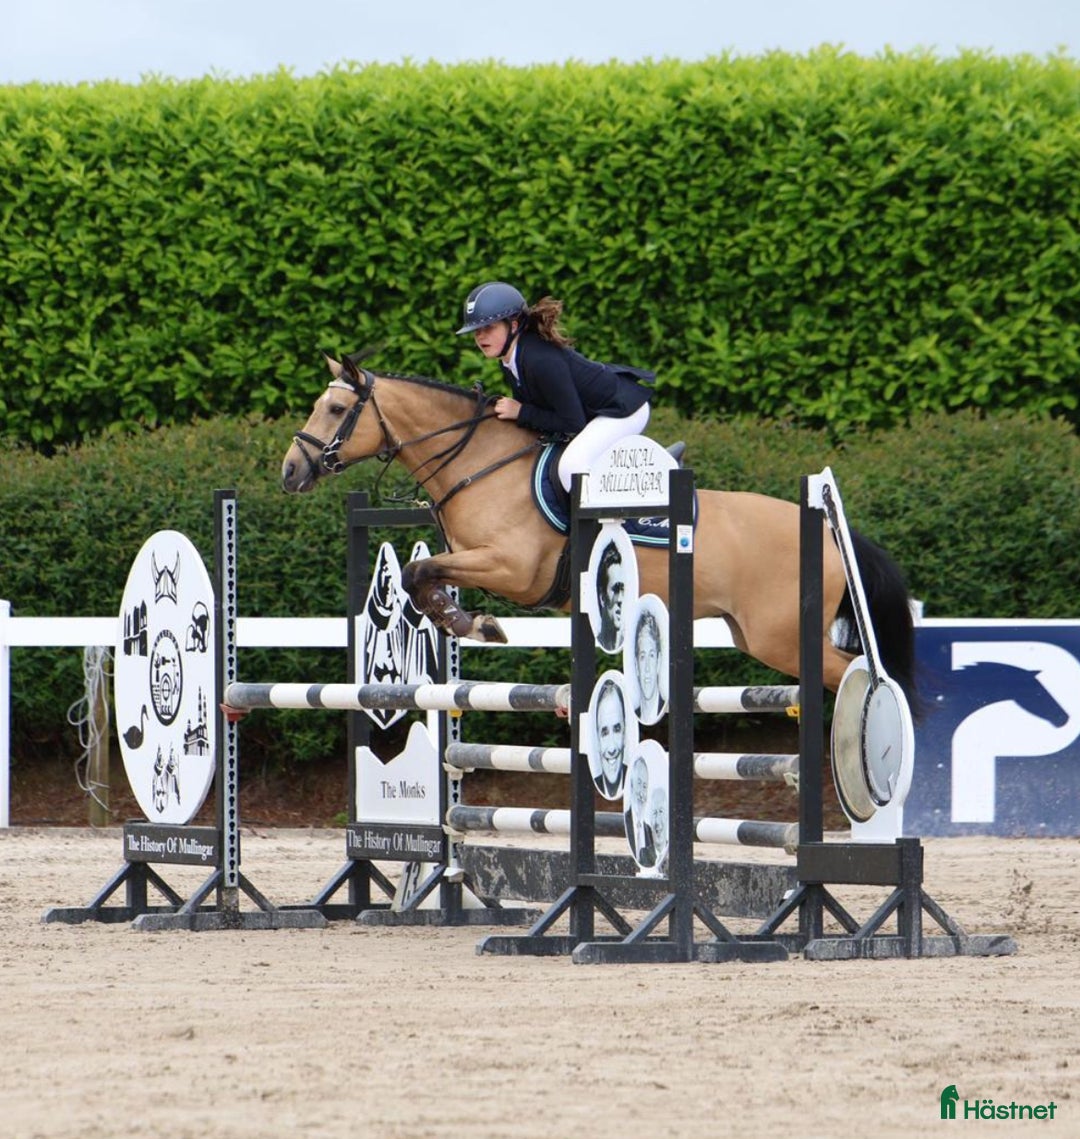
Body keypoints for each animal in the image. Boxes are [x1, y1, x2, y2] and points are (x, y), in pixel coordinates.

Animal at [281, 354, 918, 703]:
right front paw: (465, 621)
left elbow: (418, 570)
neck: (480, 463)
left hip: (779, 637)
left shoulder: (514, 568)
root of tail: (829, 532)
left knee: (859, 673)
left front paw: (476, 624)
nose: (290, 470)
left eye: (334, 410)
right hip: (755, 633)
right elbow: (422, 575)